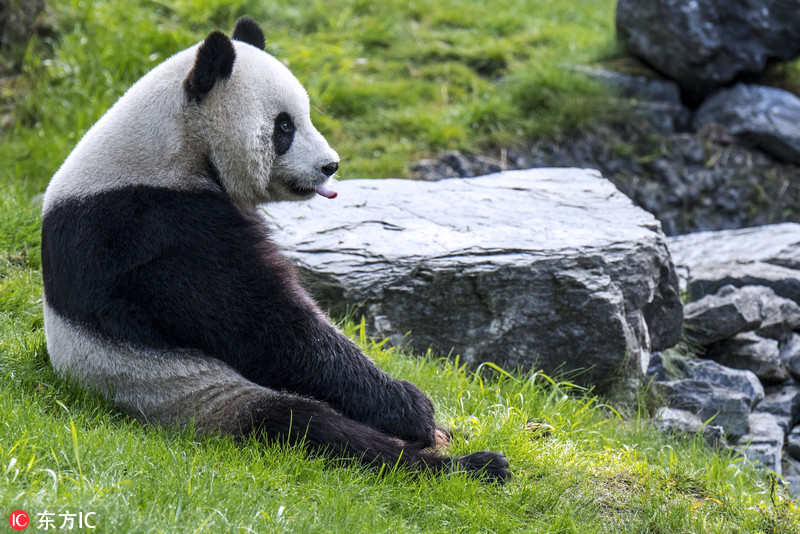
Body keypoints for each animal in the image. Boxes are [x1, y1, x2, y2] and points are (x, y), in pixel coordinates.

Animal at [40, 18, 510, 484]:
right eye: (284, 126)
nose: (330, 165)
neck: (171, 145)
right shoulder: (155, 227)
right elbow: (265, 327)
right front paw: (412, 408)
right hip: (190, 395)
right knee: (309, 427)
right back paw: (465, 466)